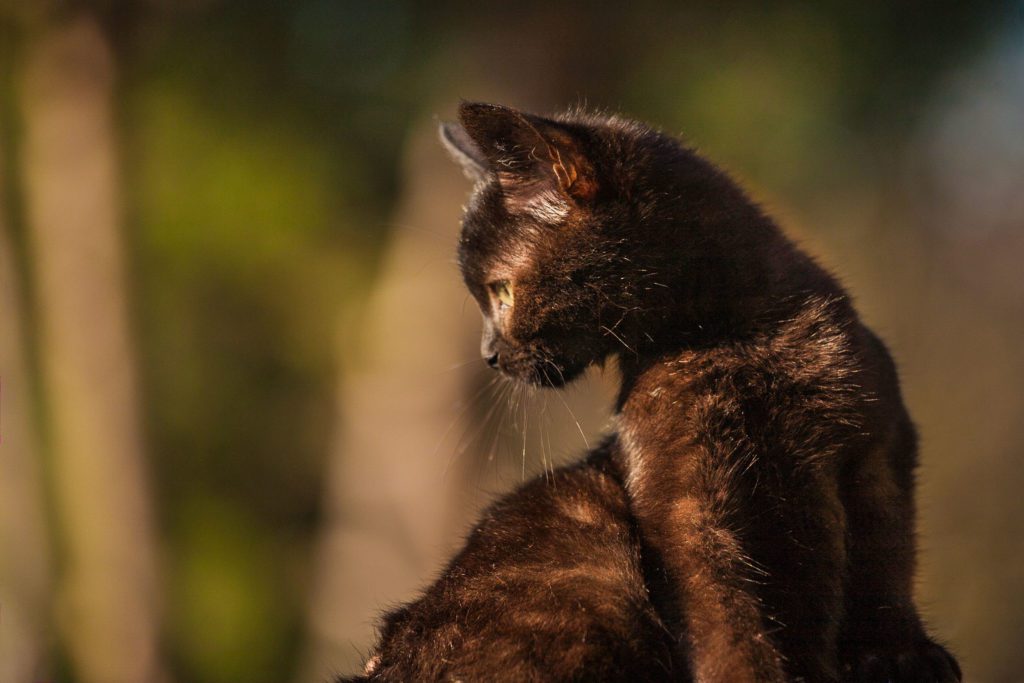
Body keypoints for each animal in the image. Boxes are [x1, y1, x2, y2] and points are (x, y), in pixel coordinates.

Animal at [342, 102, 958, 683]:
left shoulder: (879, 447)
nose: (488, 354)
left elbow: (886, 564)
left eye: (502, 291)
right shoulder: (682, 504)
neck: (734, 338)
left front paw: (901, 655)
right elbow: (722, 617)